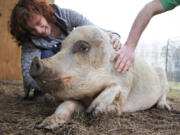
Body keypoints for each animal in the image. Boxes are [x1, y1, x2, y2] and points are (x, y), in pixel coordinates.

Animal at [29, 25, 170, 130]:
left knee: (163, 94)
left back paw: (165, 108)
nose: (35, 61)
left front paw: (95, 111)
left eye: (83, 47)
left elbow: (116, 92)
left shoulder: (125, 81)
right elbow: (66, 105)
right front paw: (43, 125)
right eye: (61, 48)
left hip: (163, 76)